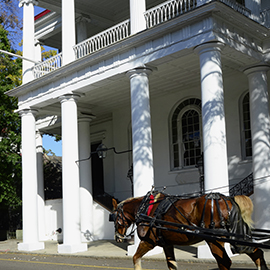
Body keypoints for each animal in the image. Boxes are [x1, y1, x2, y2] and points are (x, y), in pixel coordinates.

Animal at [111, 192, 268, 270]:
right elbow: (172, 265)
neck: (146, 210)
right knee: (257, 253)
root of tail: (228, 199)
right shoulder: (167, 244)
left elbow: (135, 258)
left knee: (225, 263)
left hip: (214, 240)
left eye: (114, 217)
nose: (117, 237)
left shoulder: (148, 242)